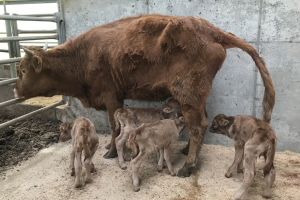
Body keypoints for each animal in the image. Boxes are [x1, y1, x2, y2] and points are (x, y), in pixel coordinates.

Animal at [13, 13, 274, 177]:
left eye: (23, 70)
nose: (15, 89)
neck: (83, 55)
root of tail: (211, 31)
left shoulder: (112, 97)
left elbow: (114, 126)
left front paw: (110, 152)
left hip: (188, 94)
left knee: (198, 125)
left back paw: (187, 168)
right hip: (195, 96)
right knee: (201, 121)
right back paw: (185, 152)